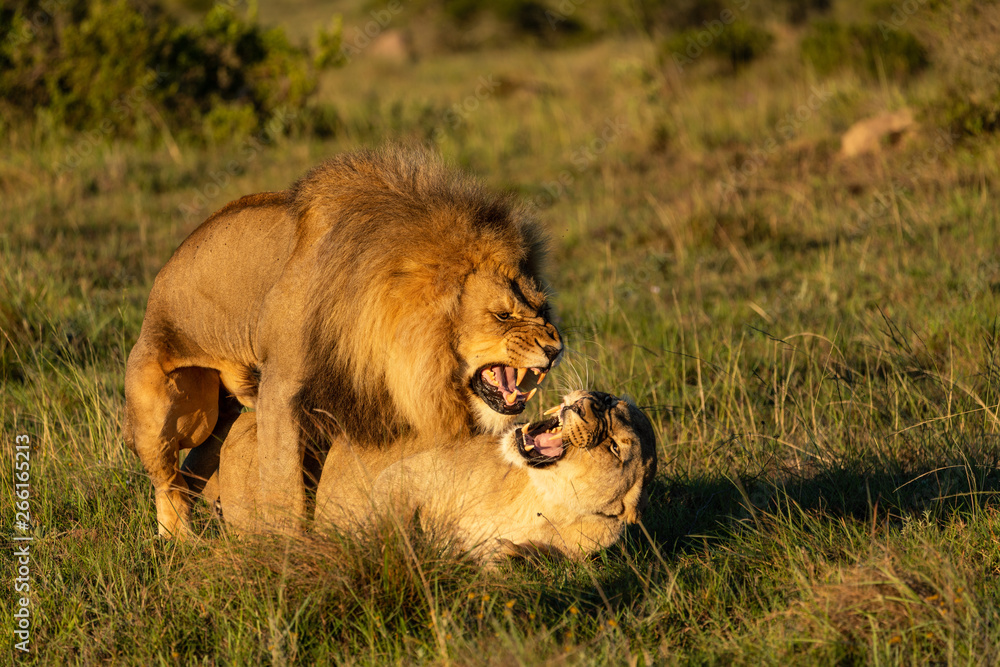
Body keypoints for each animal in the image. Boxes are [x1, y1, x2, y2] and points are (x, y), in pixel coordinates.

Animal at [123, 146, 564, 536]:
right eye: (502, 315)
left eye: (542, 308)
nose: (555, 350)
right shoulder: (280, 388)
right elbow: (282, 483)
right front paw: (287, 549)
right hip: (166, 409)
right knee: (167, 481)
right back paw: (177, 544)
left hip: (220, 415)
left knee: (192, 469)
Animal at [200, 392, 660, 564]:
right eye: (610, 399)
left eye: (615, 447)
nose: (595, 400)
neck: (540, 501)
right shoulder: (406, 474)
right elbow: (396, 527)